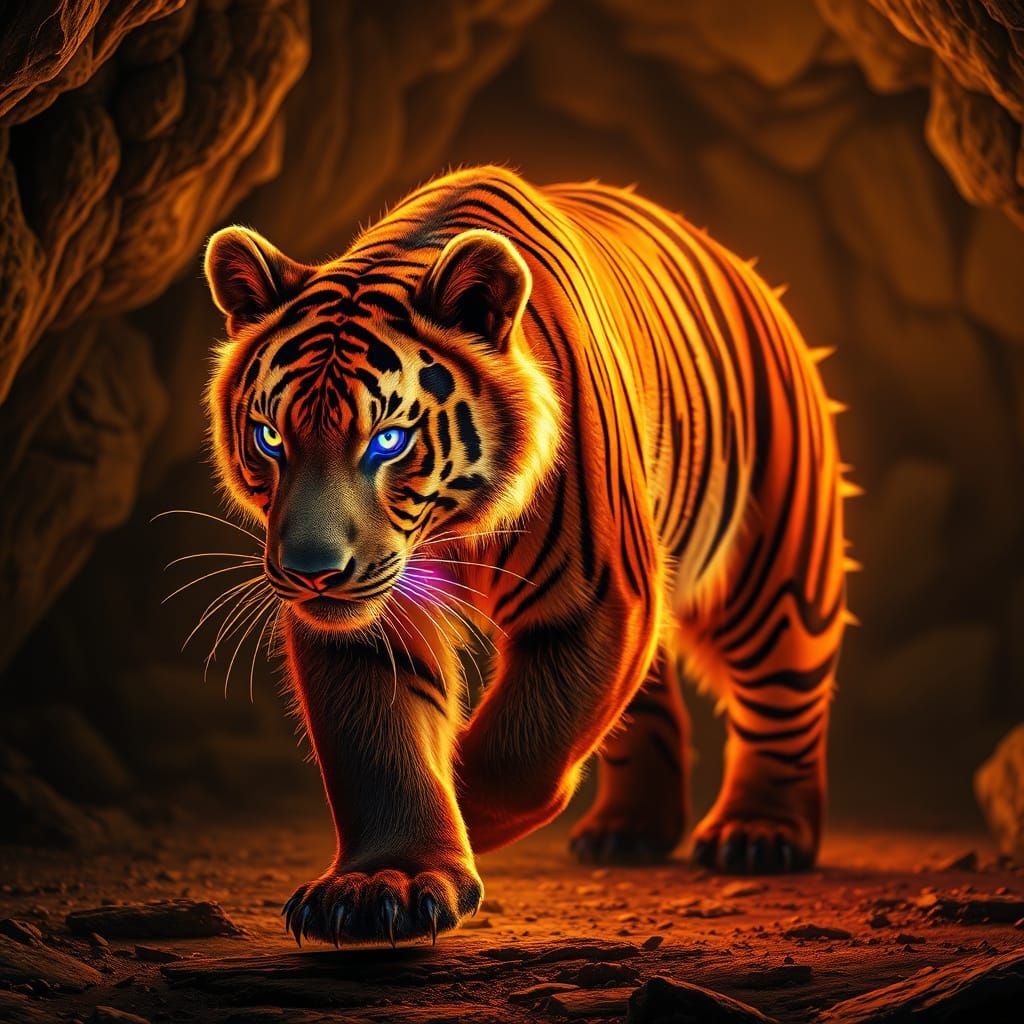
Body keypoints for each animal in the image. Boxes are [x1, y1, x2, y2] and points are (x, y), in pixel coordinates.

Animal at [202, 164, 851, 947]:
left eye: (387, 440)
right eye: (270, 436)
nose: (311, 572)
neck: (453, 527)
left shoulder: (597, 597)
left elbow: (521, 750)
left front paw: (463, 823)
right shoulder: (366, 626)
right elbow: (377, 748)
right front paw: (383, 883)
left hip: (776, 566)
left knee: (783, 693)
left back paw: (759, 833)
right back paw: (629, 830)